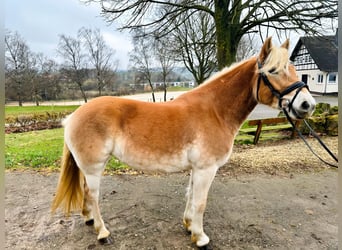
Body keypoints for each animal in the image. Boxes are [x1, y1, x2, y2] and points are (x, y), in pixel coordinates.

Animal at [50, 37, 316, 248]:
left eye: (294, 69)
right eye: (273, 71)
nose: (307, 104)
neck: (215, 111)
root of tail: (73, 116)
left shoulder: (196, 169)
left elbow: (190, 197)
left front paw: (189, 226)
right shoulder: (207, 169)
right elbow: (200, 203)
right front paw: (200, 238)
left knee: (86, 193)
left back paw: (89, 220)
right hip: (94, 167)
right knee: (93, 195)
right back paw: (102, 232)